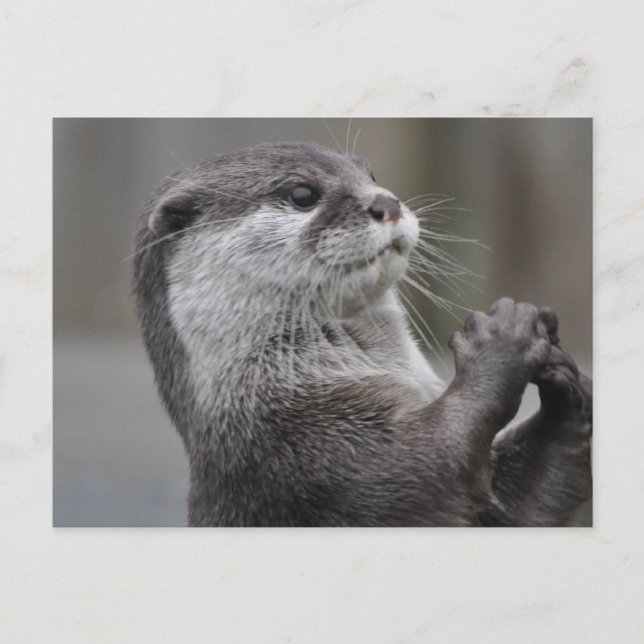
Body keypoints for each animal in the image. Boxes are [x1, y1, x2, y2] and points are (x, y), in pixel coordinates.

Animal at [133, 142, 591, 526]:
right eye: (302, 194)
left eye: (370, 175)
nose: (387, 202)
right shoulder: (313, 456)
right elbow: (432, 460)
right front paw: (503, 337)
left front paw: (567, 385)